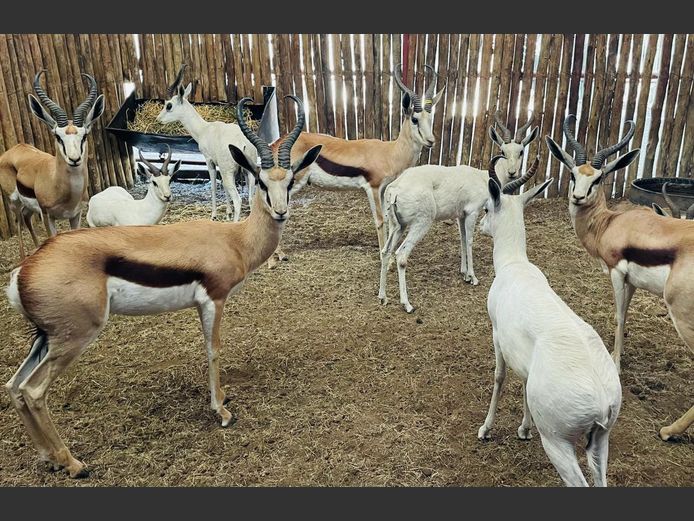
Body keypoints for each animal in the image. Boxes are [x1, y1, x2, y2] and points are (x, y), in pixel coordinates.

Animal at [0, 70, 105, 260]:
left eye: (84, 135)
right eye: (58, 136)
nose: (74, 159)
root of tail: (14, 148)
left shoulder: (75, 215)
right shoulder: (47, 216)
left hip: (29, 208)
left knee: (26, 218)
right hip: (14, 202)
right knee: (18, 221)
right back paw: (23, 257)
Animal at [4, 95, 324, 478]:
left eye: (288, 182)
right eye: (260, 182)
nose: (280, 212)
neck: (235, 239)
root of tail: (24, 270)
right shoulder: (214, 300)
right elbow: (213, 349)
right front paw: (222, 411)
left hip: (45, 337)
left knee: (14, 386)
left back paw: (47, 457)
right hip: (73, 336)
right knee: (34, 391)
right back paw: (73, 463)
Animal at [156, 63, 260, 221]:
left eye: (169, 105)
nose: (158, 119)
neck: (204, 129)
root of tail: (243, 144)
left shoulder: (209, 161)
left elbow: (213, 186)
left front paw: (214, 215)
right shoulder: (221, 167)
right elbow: (223, 187)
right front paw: (228, 213)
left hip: (229, 173)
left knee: (238, 200)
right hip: (249, 172)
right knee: (250, 198)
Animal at [478, 173, 624, 486]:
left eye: (486, 207)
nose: (481, 225)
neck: (514, 265)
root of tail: (601, 398)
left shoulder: (497, 335)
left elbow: (499, 377)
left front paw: (486, 429)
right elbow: (523, 382)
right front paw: (524, 429)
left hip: (558, 443)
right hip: (601, 440)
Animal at [548, 114, 694, 438]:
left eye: (598, 178)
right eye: (573, 174)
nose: (578, 197)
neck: (610, 223)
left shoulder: (616, 272)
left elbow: (619, 316)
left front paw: (614, 364)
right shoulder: (633, 282)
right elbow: (625, 314)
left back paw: (669, 430)